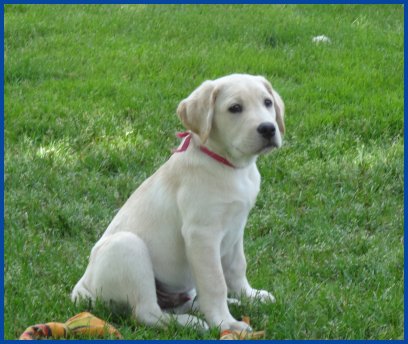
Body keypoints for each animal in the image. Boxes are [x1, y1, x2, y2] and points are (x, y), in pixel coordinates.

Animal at [71, 74, 286, 332]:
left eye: (267, 103)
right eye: (235, 108)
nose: (268, 128)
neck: (229, 166)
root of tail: (84, 285)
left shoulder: (236, 228)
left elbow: (237, 268)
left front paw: (250, 296)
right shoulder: (202, 235)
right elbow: (215, 282)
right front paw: (226, 323)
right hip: (128, 248)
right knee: (147, 313)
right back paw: (193, 323)